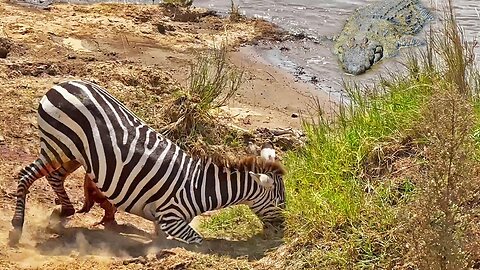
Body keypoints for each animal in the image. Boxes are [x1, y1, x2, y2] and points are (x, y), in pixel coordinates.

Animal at [8, 79, 284, 245]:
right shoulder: (171, 217)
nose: (282, 230)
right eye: (280, 201)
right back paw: (17, 225)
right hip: (57, 145)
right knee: (26, 175)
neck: (201, 188)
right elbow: (198, 241)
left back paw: (66, 210)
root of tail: (63, 83)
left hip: (74, 153)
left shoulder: (163, 222)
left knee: (54, 176)